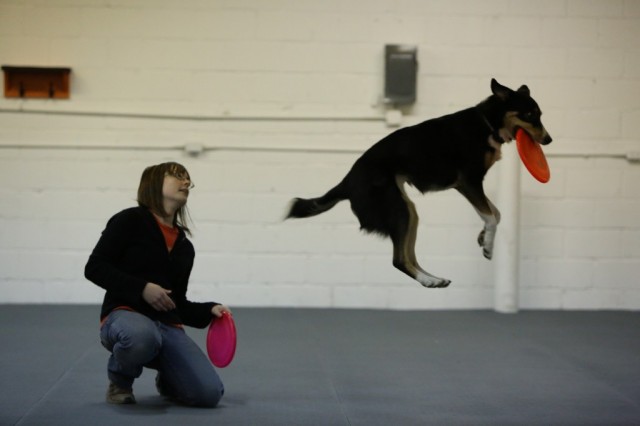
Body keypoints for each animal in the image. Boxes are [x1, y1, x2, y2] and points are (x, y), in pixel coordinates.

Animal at [284, 78, 552, 288]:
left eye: (540, 114)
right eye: (530, 115)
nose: (548, 139)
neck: (487, 122)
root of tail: (347, 181)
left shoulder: (472, 186)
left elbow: (496, 213)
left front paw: (483, 237)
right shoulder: (468, 182)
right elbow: (491, 216)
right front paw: (487, 245)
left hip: (408, 211)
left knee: (407, 256)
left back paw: (434, 279)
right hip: (398, 210)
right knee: (399, 260)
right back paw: (430, 281)